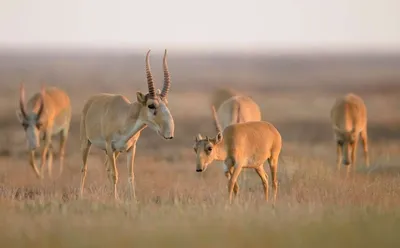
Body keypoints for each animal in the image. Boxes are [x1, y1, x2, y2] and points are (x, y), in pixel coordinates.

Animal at [80, 49, 175, 201]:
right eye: (151, 105)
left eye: (166, 103)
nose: (169, 133)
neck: (124, 116)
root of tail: (91, 100)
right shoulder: (110, 146)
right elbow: (115, 174)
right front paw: (115, 201)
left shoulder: (130, 149)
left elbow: (131, 176)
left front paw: (132, 201)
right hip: (87, 143)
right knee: (84, 168)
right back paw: (80, 196)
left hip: (116, 152)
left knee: (106, 167)